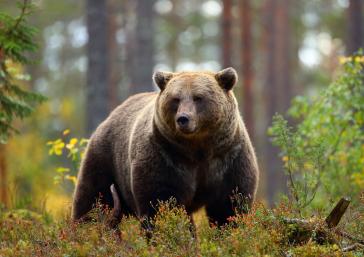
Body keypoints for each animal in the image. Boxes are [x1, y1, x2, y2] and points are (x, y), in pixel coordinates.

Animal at [72, 67, 258, 225]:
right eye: (176, 99)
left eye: (198, 97)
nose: (183, 118)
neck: (198, 149)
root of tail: (110, 116)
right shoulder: (165, 157)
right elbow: (161, 203)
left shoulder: (228, 157)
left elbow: (229, 206)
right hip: (106, 159)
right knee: (92, 199)